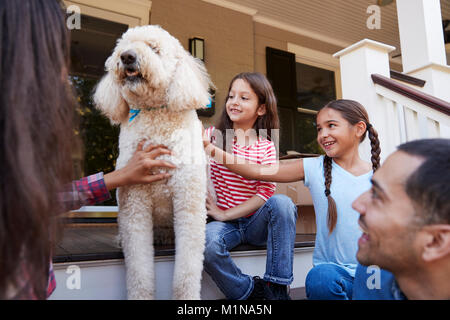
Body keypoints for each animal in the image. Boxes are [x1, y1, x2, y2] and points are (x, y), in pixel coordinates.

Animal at [93, 25, 213, 300]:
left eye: (154, 48)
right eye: (123, 46)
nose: (127, 57)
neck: (155, 114)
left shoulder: (188, 202)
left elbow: (187, 271)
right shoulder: (133, 205)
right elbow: (139, 269)